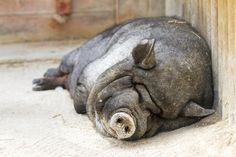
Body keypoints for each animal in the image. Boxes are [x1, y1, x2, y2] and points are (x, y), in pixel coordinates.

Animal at [32, 16, 215, 140]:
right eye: (134, 86)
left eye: (155, 114)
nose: (129, 120)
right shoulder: (90, 72)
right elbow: (80, 101)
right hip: (75, 53)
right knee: (61, 70)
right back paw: (37, 83)